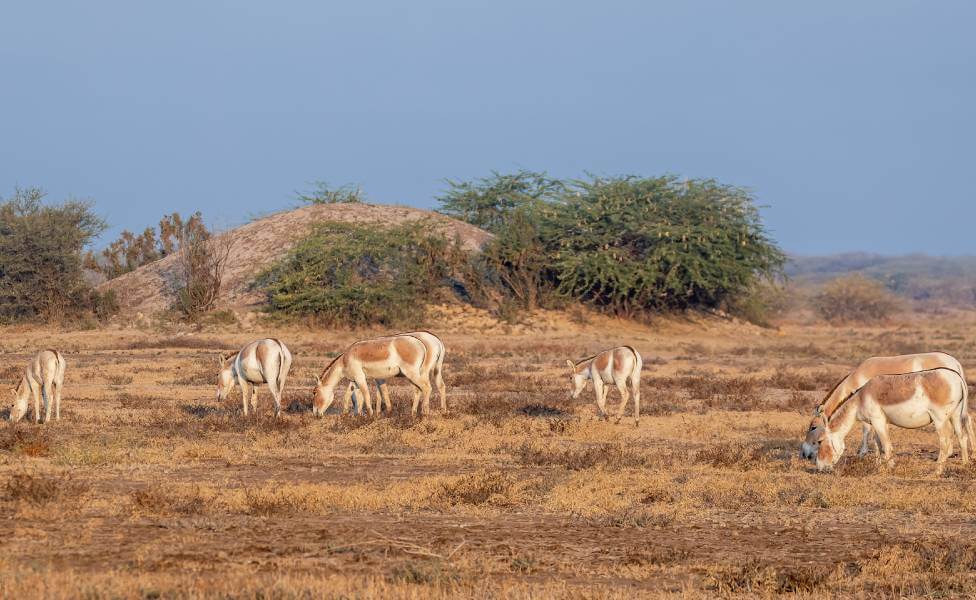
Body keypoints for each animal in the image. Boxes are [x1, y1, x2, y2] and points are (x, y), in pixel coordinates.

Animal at [800, 352, 968, 460]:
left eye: (813, 427)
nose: (803, 454)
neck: (856, 378)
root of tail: (955, 362)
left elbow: (867, 430)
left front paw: (864, 453)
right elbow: (876, 433)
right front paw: (878, 454)